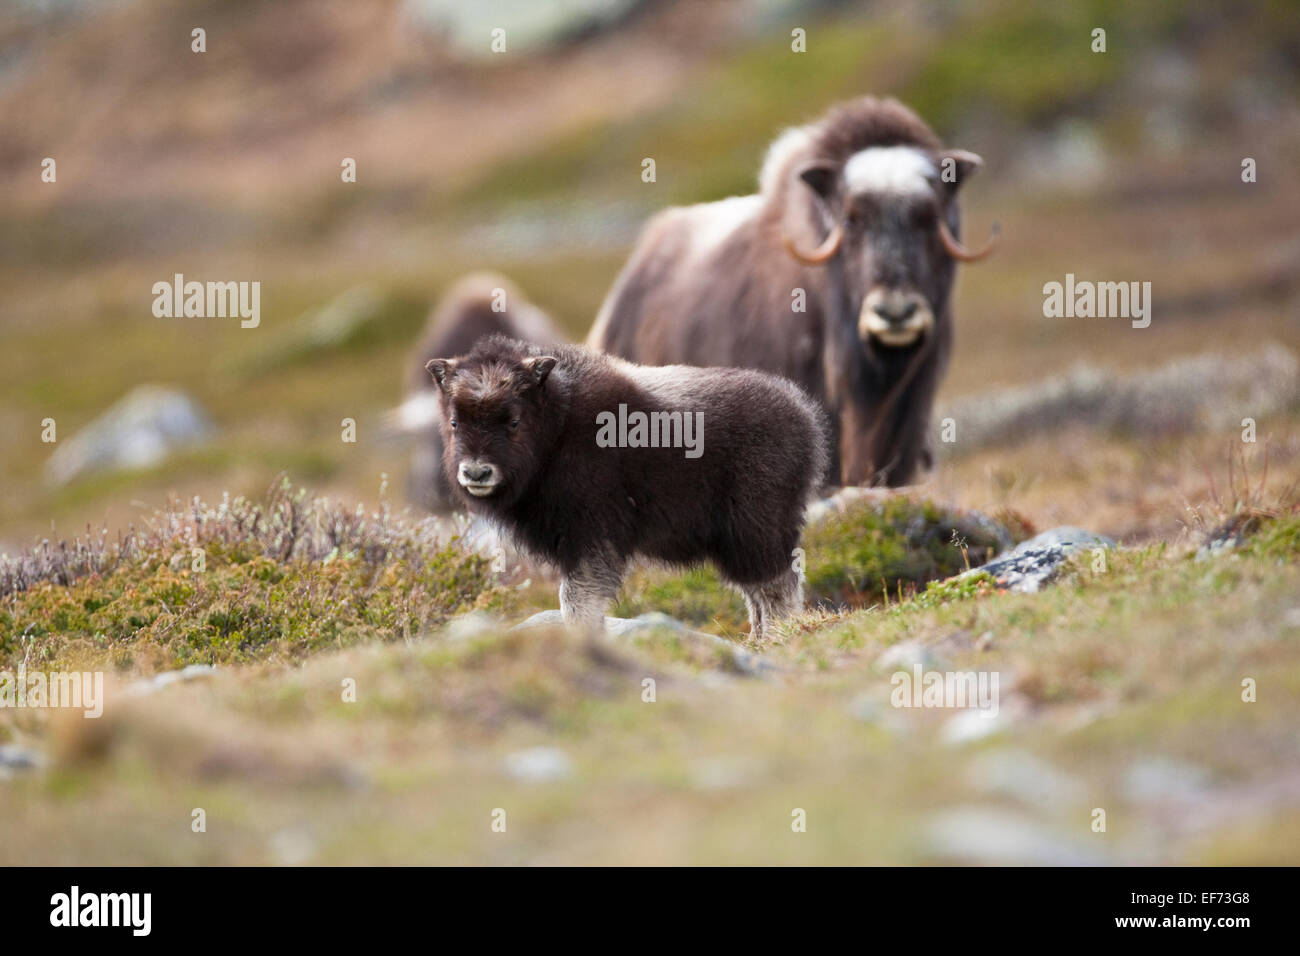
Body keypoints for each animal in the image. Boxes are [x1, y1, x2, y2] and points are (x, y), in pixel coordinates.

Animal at [428, 332, 832, 639]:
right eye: (454, 422)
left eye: (513, 420)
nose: (477, 473)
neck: (557, 427)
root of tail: (804, 416)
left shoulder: (591, 535)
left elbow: (576, 598)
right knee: (757, 590)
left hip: (756, 528)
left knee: (775, 584)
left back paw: (776, 638)